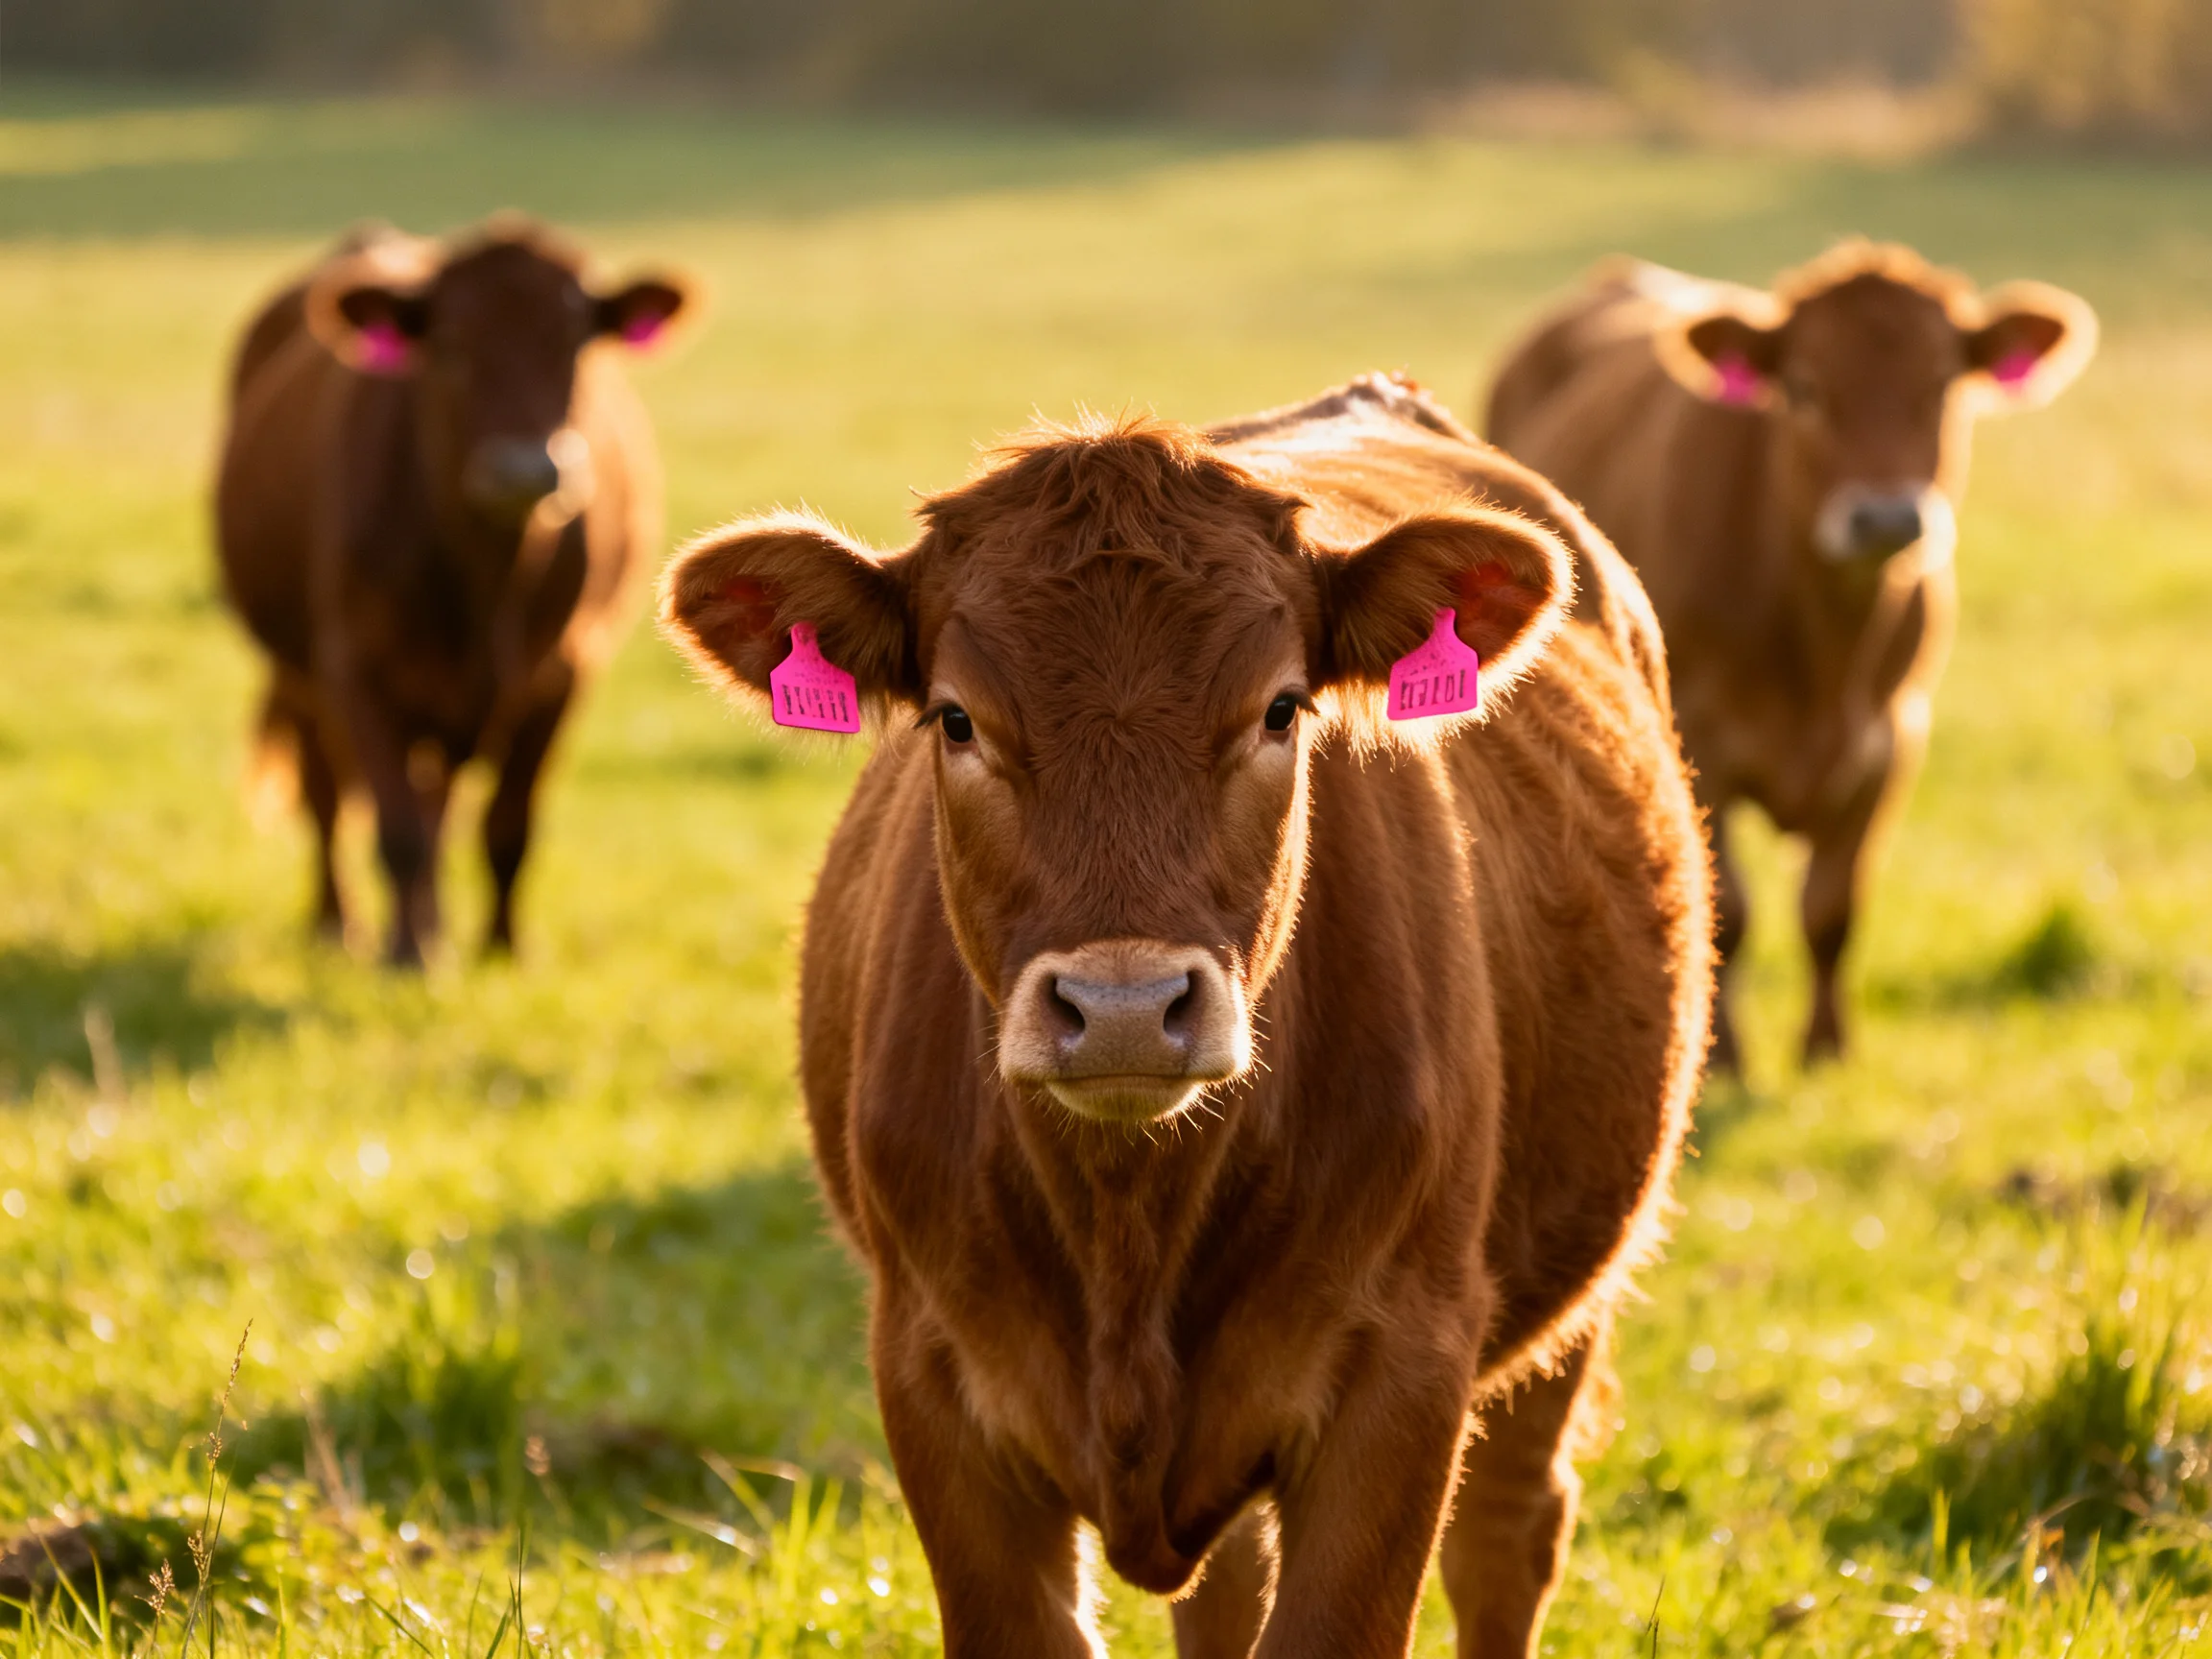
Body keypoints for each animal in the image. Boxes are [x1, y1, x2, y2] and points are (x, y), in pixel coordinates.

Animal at [215, 216, 692, 965]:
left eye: (574, 341)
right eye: (452, 344)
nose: (523, 471)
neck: (485, 582)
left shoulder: (563, 672)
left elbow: (507, 826)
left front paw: (503, 948)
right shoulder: (356, 670)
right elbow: (398, 832)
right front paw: (405, 956)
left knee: (439, 801)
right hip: (294, 668)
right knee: (327, 793)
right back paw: (338, 923)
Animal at [661, 374, 1711, 1657]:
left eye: (1281, 709)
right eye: (957, 720)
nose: (1123, 1007)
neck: (1130, 1218)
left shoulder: (1403, 1374)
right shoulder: (930, 1373)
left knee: (1509, 1536)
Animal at [1485, 242, 2096, 1067]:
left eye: (1942, 382)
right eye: (1804, 387)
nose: (1885, 518)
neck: (1823, 652)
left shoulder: (1891, 739)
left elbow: (1832, 909)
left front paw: (1825, 1050)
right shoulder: (1704, 743)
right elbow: (1733, 912)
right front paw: (1729, 1056)